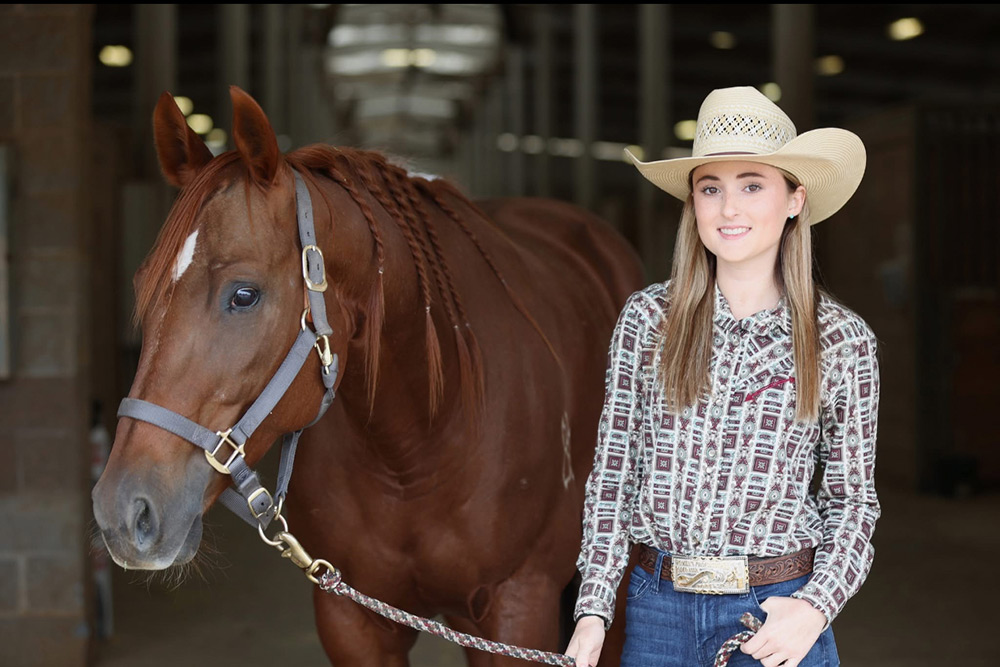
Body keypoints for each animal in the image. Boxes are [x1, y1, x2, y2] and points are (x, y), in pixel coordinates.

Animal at [90, 86, 644, 664]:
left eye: (244, 294)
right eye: (141, 285)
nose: (123, 512)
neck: (418, 446)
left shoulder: (515, 611)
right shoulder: (353, 621)